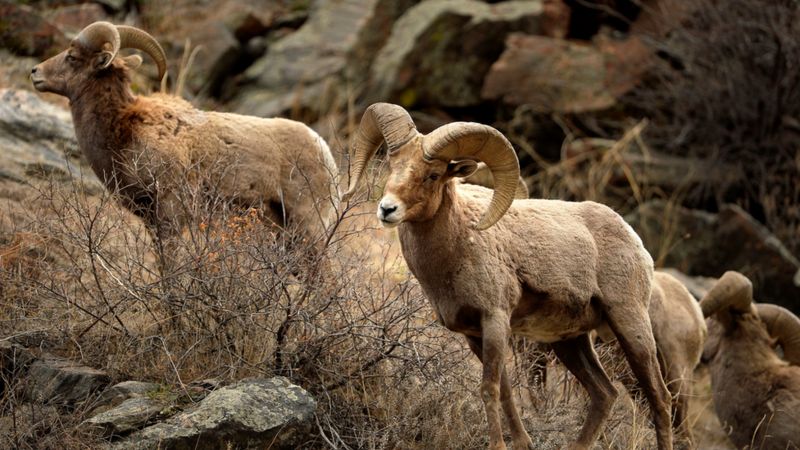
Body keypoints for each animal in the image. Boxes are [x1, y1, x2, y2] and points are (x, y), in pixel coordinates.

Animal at [30, 22, 338, 255]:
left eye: (72, 57)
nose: (35, 73)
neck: (123, 129)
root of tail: (324, 152)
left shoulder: (171, 213)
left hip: (307, 226)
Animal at [344, 103, 676, 450]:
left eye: (433, 175)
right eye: (392, 164)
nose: (387, 209)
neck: (460, 244)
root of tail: (633, 238)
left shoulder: (495, 320)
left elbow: (489, 388)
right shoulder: (474, 334)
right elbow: (504, 390)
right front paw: (522, 443)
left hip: (630, 324)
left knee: (660, 397)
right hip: (569, 341)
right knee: (605, 393)